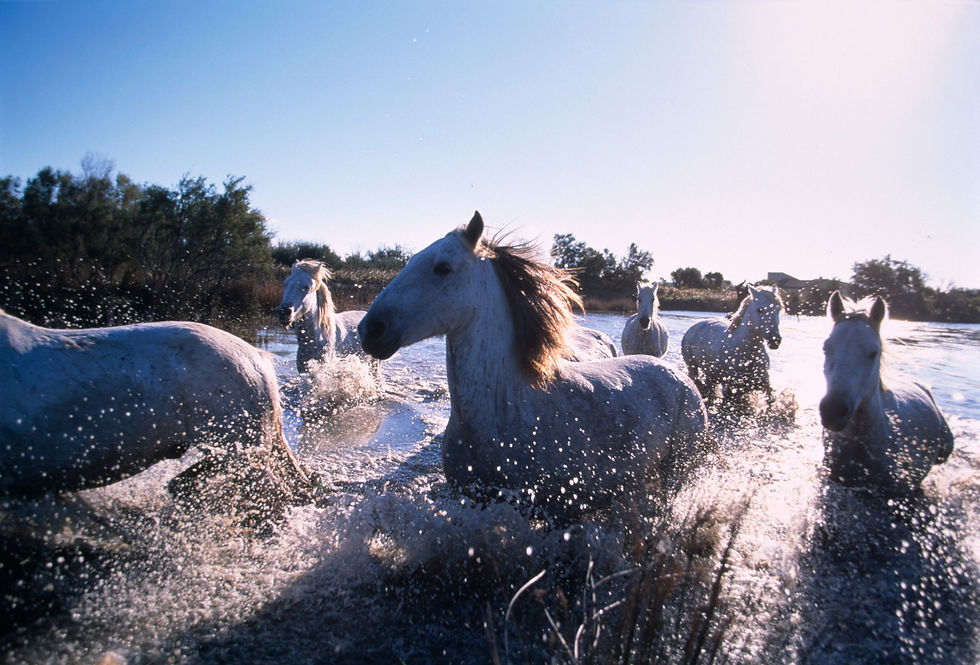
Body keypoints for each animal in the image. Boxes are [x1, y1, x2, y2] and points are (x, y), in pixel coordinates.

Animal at [358, 212, 711, 523]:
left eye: (442, 267)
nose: (370, 330)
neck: (508, 407)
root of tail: (682, 381)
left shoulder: (558, 512)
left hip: (676, 476)